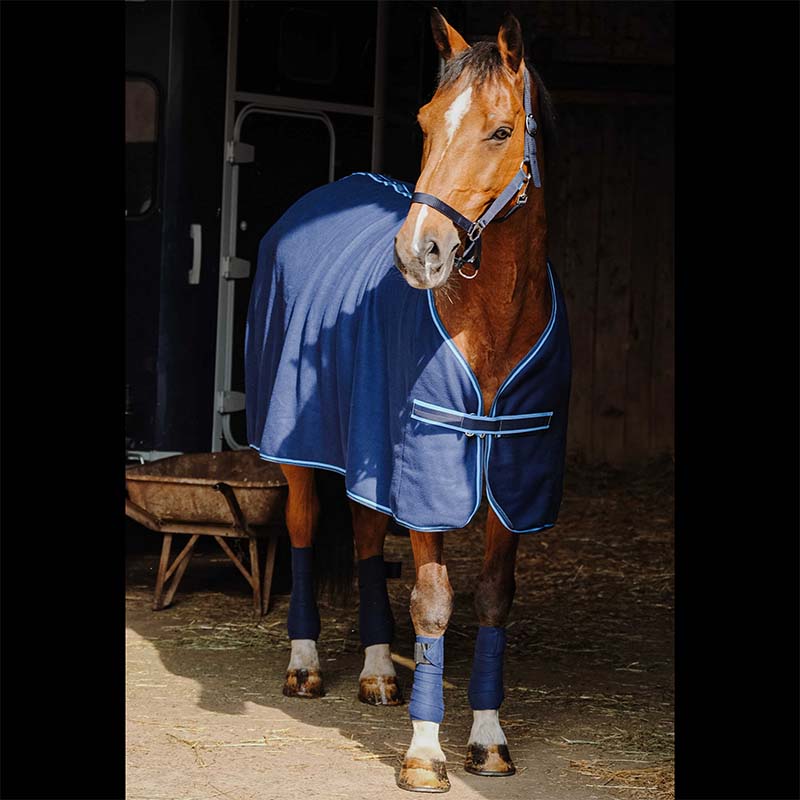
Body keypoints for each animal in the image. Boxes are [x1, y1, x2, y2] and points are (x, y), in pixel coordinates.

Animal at [245, 8, 570, 793]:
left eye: (500, 130)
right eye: (424, 120)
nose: (417, 252)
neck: (492, 324)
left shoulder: (512, 478)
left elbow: (492, 600)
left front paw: (487, 740)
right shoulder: (429, 478)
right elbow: (432, 604)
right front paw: (425, 753)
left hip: (368, 458)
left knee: (365, 536)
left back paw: (375, 673)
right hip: (300, 454)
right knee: (302, 531)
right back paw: (305, 666)